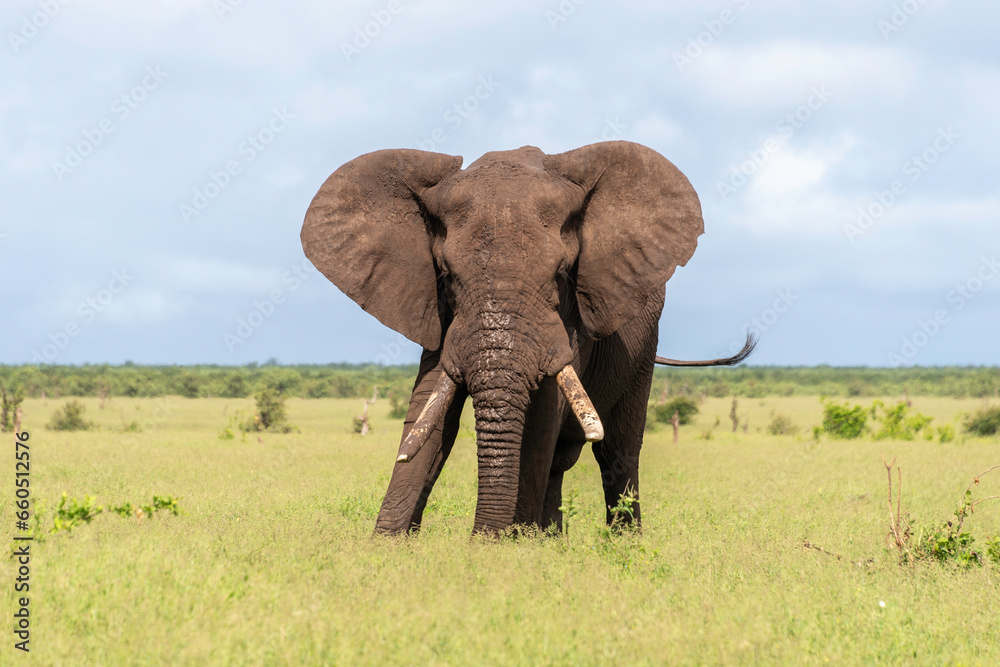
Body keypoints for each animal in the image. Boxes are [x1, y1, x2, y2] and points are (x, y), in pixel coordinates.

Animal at [300, 141, 752, 536]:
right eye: (445, 275)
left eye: (561, 273)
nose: (479, 540)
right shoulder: (437, 315)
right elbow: (428, 410)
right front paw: (386, 548)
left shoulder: (570, 323)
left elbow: (541, 416)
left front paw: (507, 553)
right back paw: (550, 541)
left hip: (643, 345)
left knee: (617, 451)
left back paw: (623, 547)